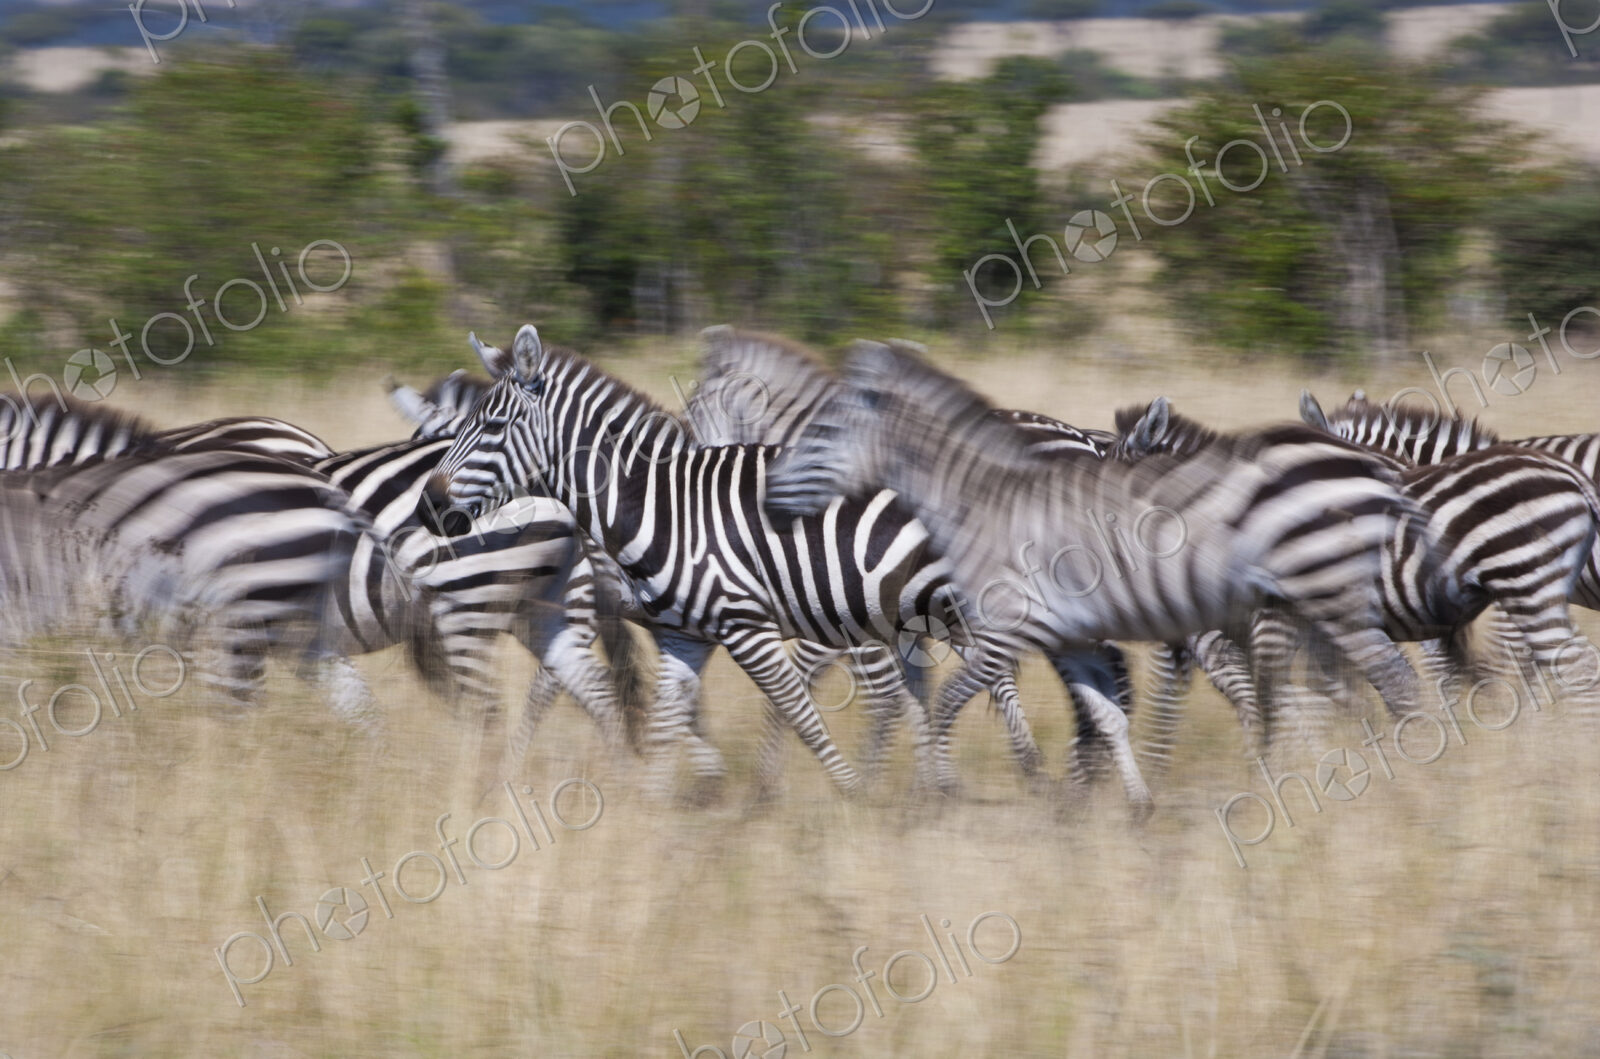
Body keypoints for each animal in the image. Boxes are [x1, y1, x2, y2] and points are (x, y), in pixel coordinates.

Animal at [420, 324, 1021, 800]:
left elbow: (802, 707)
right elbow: (664, 716)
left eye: (492, 427)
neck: (659, 506)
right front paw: (655, 816)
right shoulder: (680, 632)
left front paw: (850, 796)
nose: (429, 504)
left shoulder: (752, 624)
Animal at [760, 339, 1430, 797]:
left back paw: (1413, 776)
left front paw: (942, 789)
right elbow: (1123, 705)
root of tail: (1372, 467)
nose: (769, 500)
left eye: (823, 431)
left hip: (1325, 596)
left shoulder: (1018, 626)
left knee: (1390, 680)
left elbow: (947, 701)